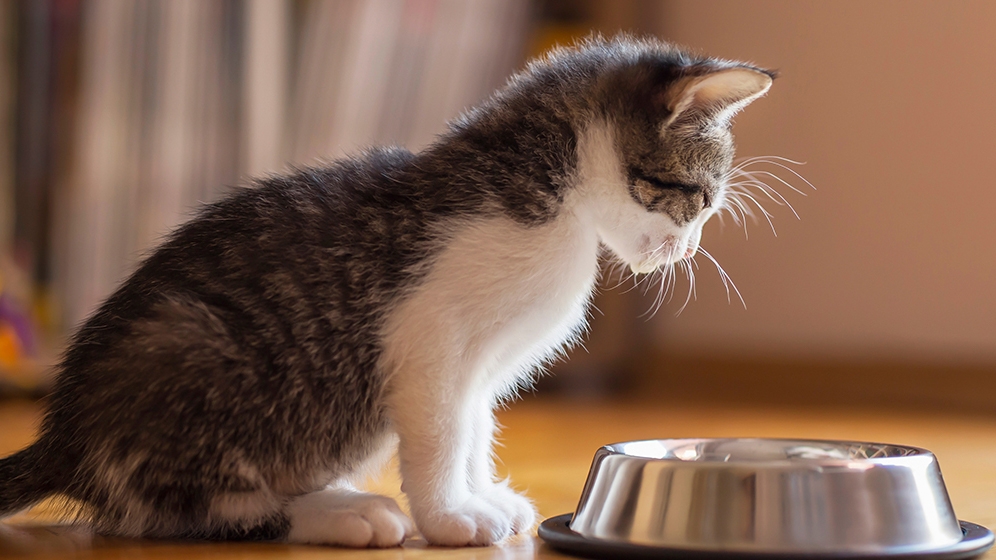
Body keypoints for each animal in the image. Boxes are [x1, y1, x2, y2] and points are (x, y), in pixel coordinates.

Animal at [0, 38, 776, 548]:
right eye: (697, 200)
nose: (687, 251)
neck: (549, 195)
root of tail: (65, 435)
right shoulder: (430, 337)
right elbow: (442, 431)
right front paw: (450, 518)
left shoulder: (480, 365)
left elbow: (474, 426)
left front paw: (481, 492)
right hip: (190, 348)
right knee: (173, 509)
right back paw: (337, 514)